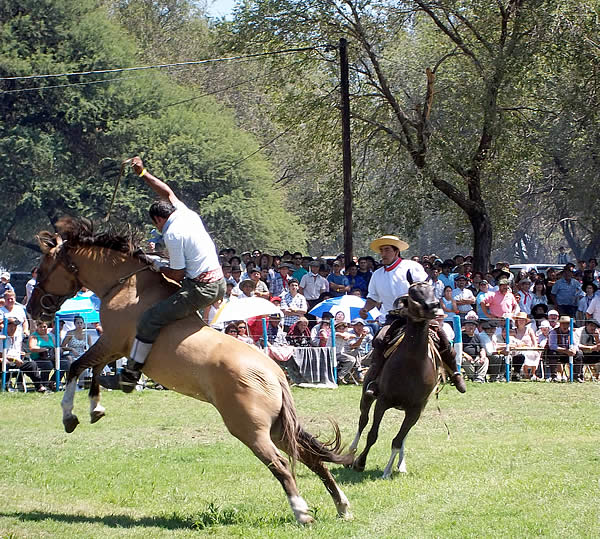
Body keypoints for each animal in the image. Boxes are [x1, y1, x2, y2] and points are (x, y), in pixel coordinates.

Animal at [28, 217, 354, 524]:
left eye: (41, 271)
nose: (33, 310)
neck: (126, 286)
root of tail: (273, 373)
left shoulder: (110, 341)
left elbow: (76, 367)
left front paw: (70, 416)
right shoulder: (114, 347)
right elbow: (93, 371)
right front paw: (96, 408)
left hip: (251, 430)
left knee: (282, 464)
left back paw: (302, 512)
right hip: (276, 428)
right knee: (313, 460)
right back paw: (342, 506)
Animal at [350, 280, 442, 478]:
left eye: (432, 290)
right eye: (413, 292)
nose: (433, 306)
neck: (413, 362)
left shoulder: (415, 410)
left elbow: (399, 440)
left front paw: (388, 470)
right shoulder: (382, 401)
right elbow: (372, 435)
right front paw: (360, 462)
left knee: (402, 437)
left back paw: (401, 464)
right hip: (367, 396)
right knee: (363, 420)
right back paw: (352, 451)